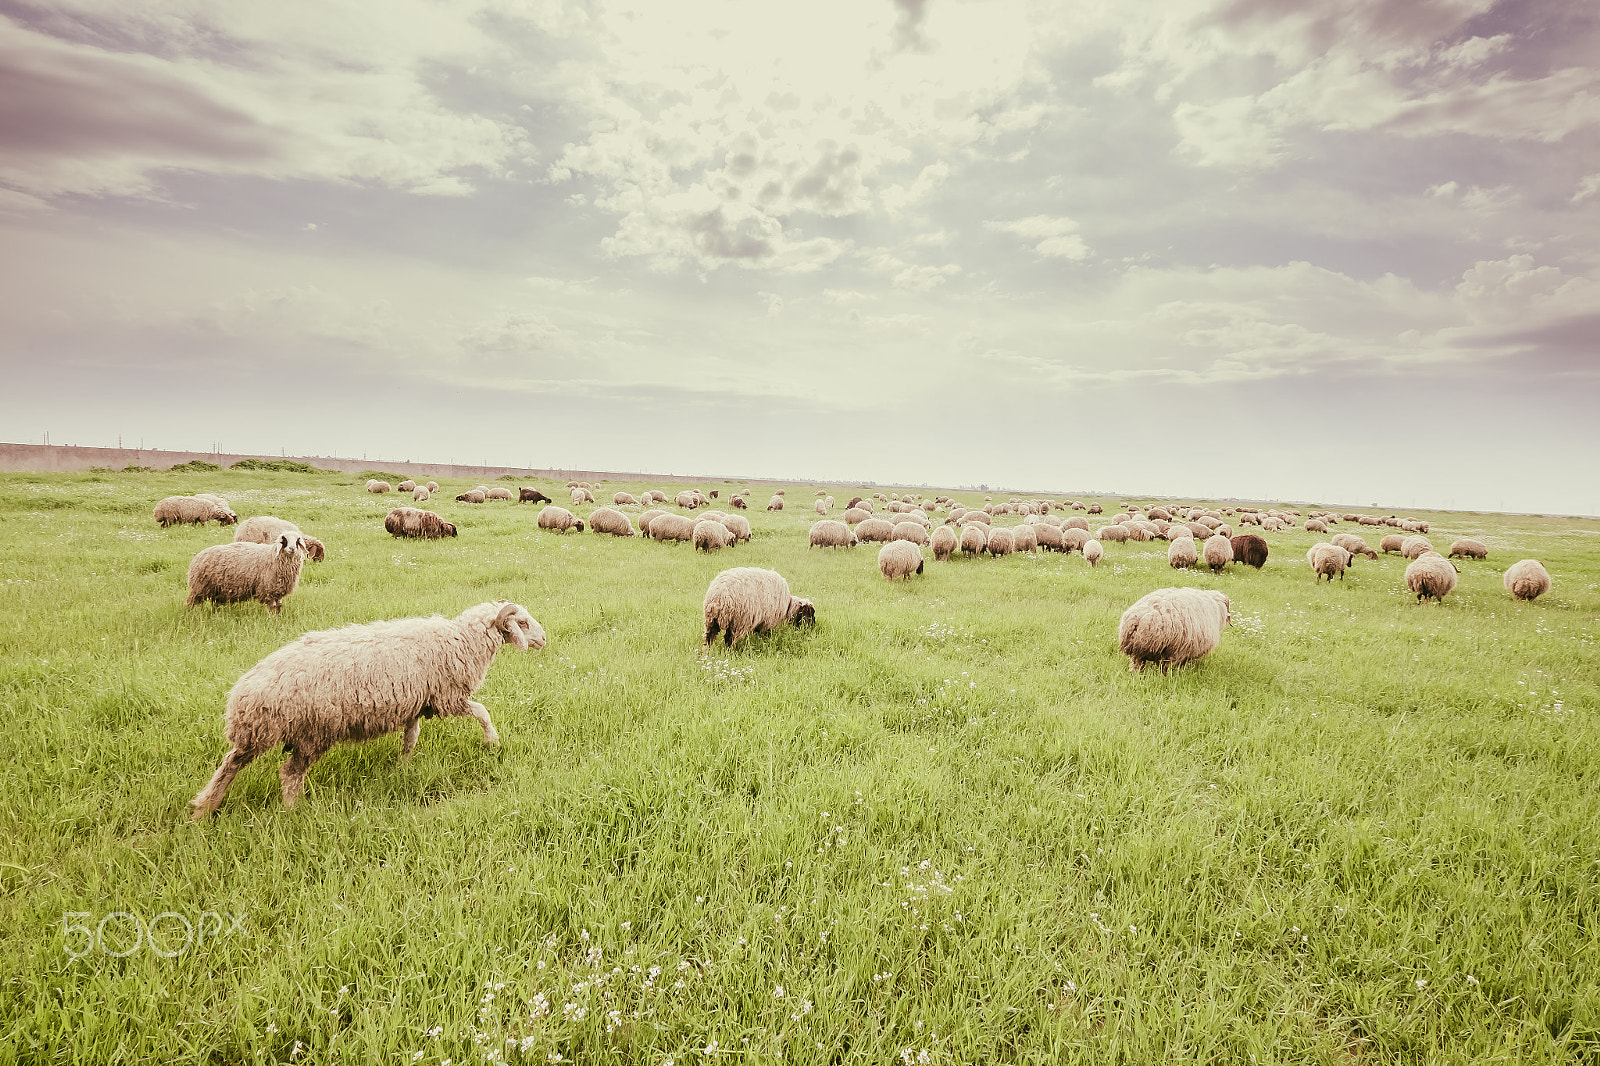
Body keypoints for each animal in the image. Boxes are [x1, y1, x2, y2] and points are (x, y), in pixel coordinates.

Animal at [190, 601, 543, 817]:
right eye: (523, 622)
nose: (544, 638)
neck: (462, 640)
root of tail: (242, 696)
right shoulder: (447, 697)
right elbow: (482, 711)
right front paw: (492, 741)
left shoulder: (416, 703)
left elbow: (411, 737)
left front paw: (403, 766)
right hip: (311, 732)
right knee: (289, 773)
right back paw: (293, 812)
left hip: (258, 733)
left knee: (230, 764)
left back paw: (204, 808)